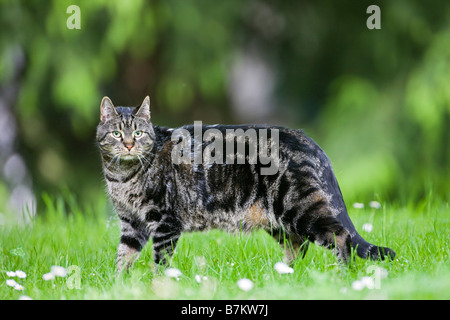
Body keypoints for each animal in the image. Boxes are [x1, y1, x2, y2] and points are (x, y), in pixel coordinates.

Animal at [96, 95, 394, 272]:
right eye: (116, 133)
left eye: (138, 132)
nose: (129, 144)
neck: (121, 176)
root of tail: (307, 139)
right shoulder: (131, 223)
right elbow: (123, 257)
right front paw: (119, 285)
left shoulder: (164, 222)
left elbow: (160, 262)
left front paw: (156, 285)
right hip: (278, 221)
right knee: (298, 247)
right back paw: (286, 277)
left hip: (299, 207)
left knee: (339, 235)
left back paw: (341, 275)